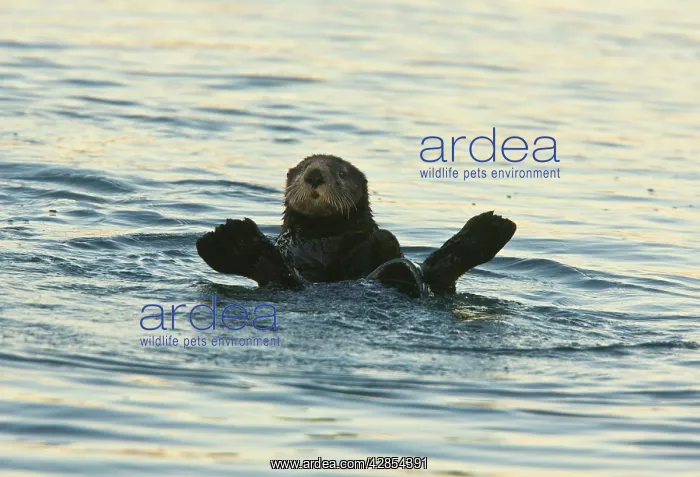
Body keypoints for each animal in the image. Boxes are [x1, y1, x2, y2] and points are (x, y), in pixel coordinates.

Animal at [196, 154, 516, 297]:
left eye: (341, 173)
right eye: (301, 170)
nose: (314, 175)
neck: (328, 235)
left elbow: (381, 240)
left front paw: (382, 239)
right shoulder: (290, 243)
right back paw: (234, 240)